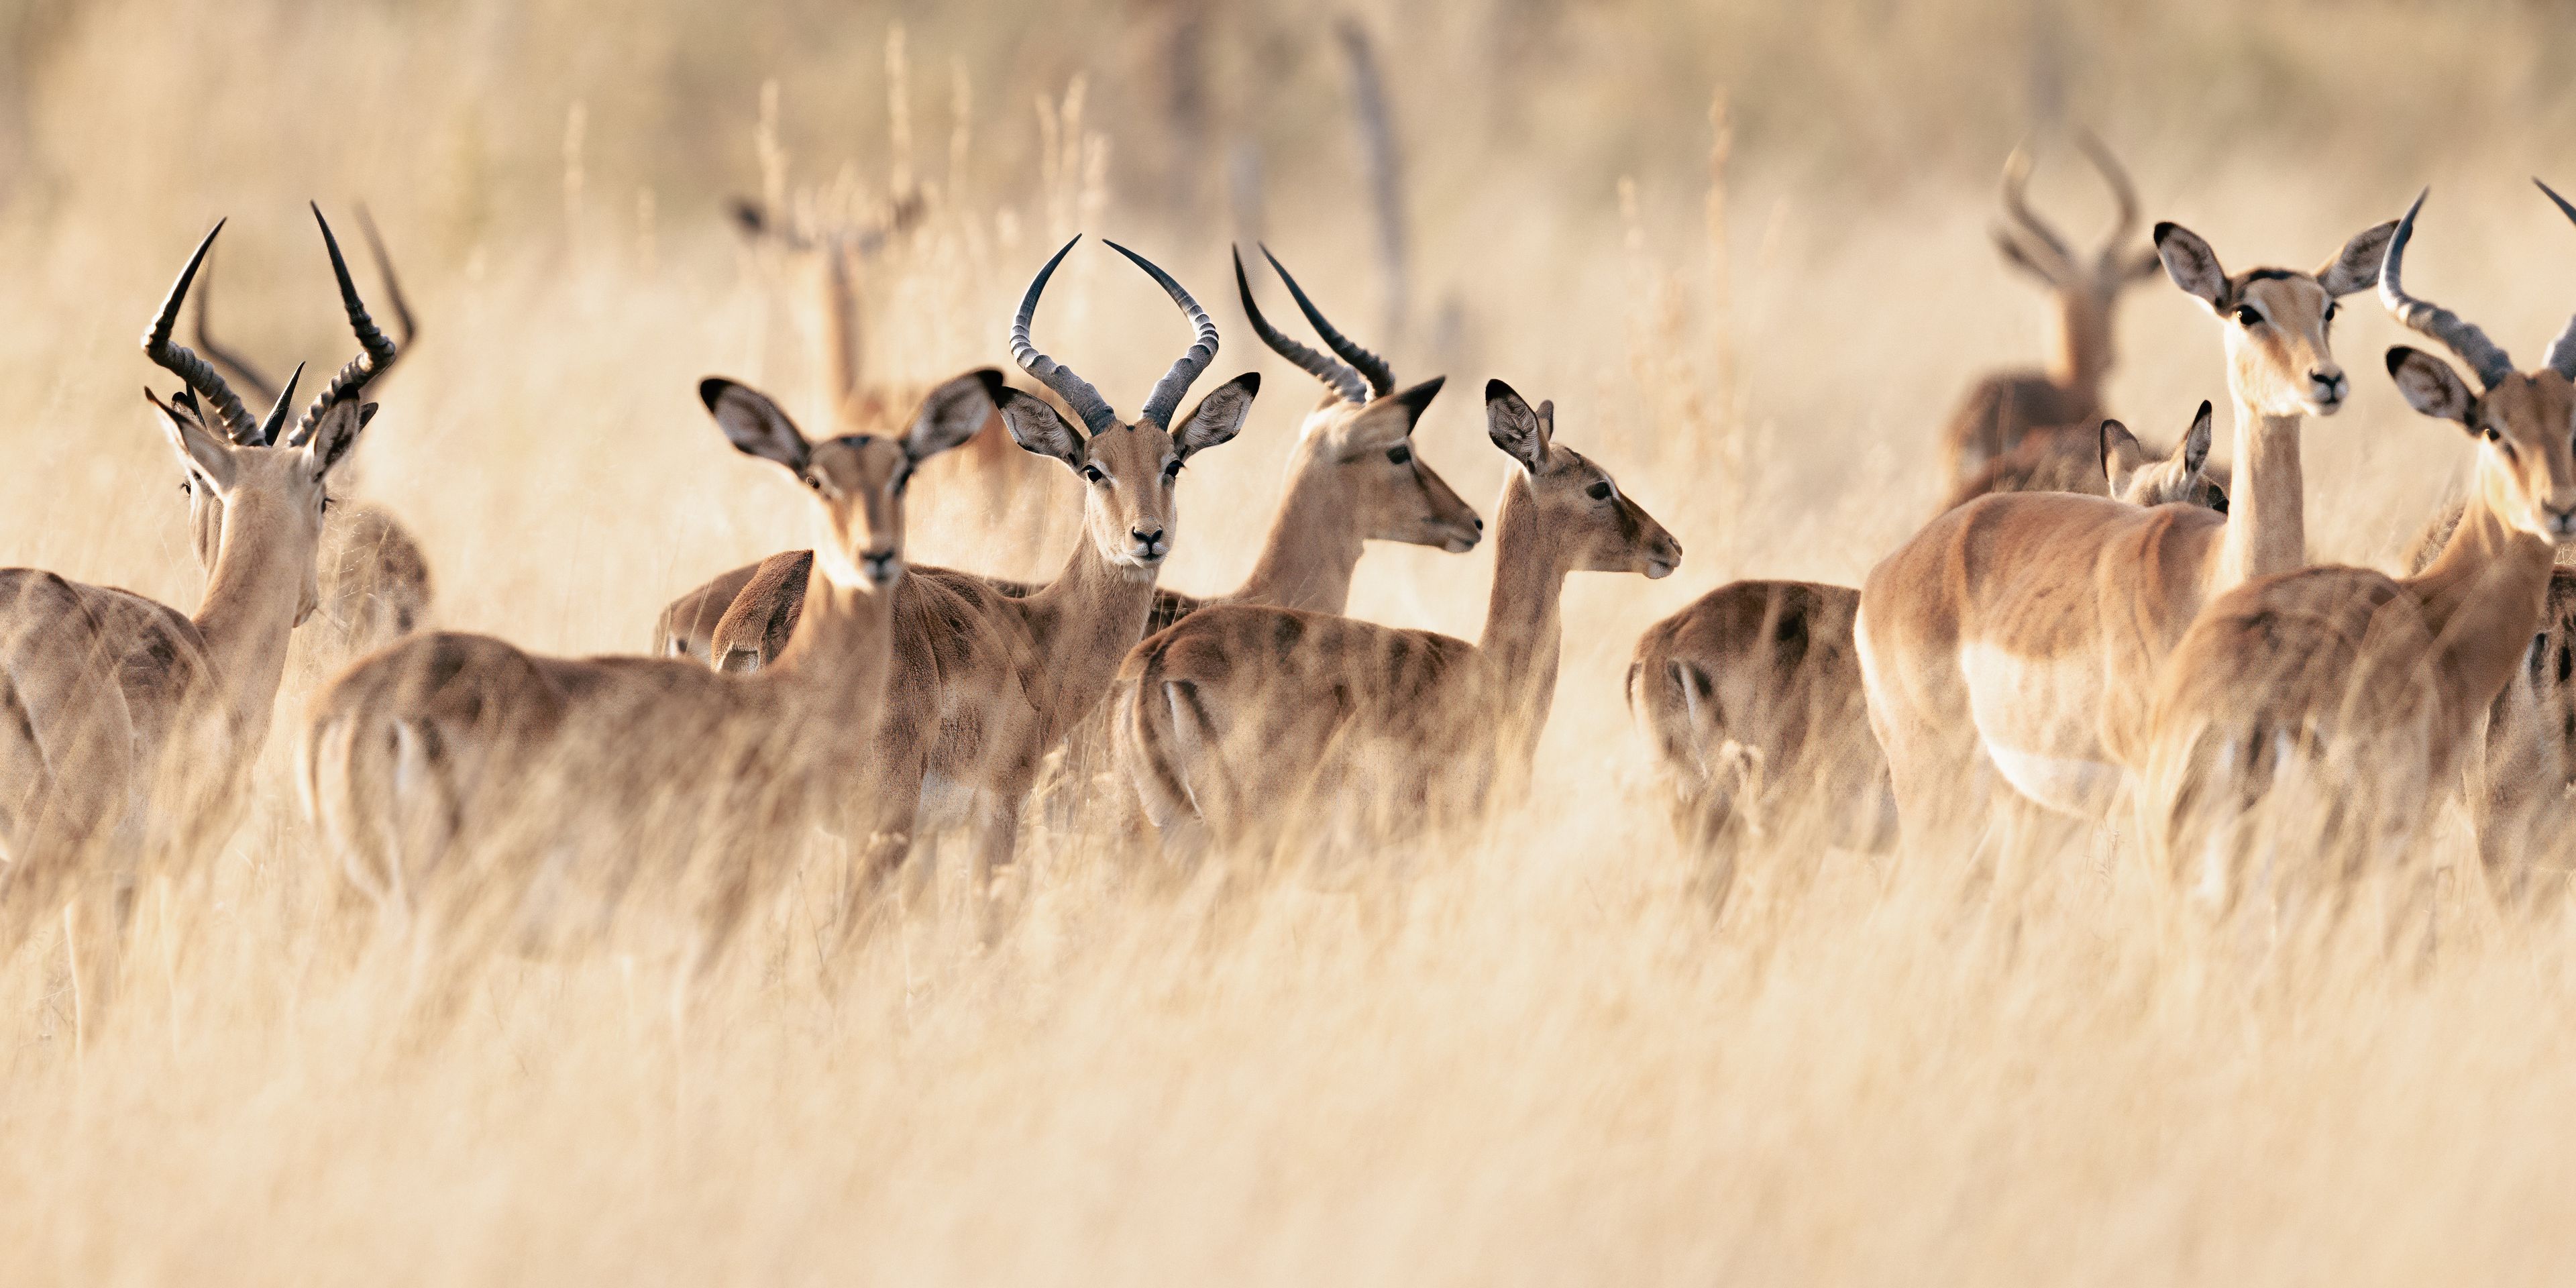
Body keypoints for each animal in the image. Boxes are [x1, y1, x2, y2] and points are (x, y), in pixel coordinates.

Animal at [1857, 214, 2396, 854]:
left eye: (2328, 307)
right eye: (2247, 311)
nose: (2325, 380)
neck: (2215, 581)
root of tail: (1884, 577)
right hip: (1934, 784)